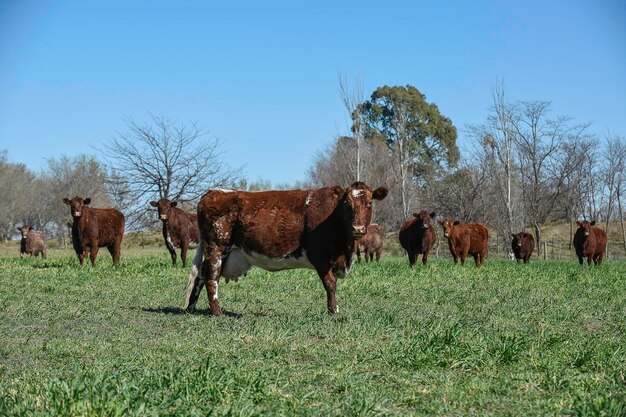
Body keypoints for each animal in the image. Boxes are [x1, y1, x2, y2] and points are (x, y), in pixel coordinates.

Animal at [183, 180, 386, 314]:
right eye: (346, 204)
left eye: (369, 203)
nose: (358, 228)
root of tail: (214, 191)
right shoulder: (319, 255)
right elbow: (330, 283)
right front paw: (333, 311)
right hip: (217, 246)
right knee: (212, 277)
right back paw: (217, 312)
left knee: (201, 274)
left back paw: (192, 307)